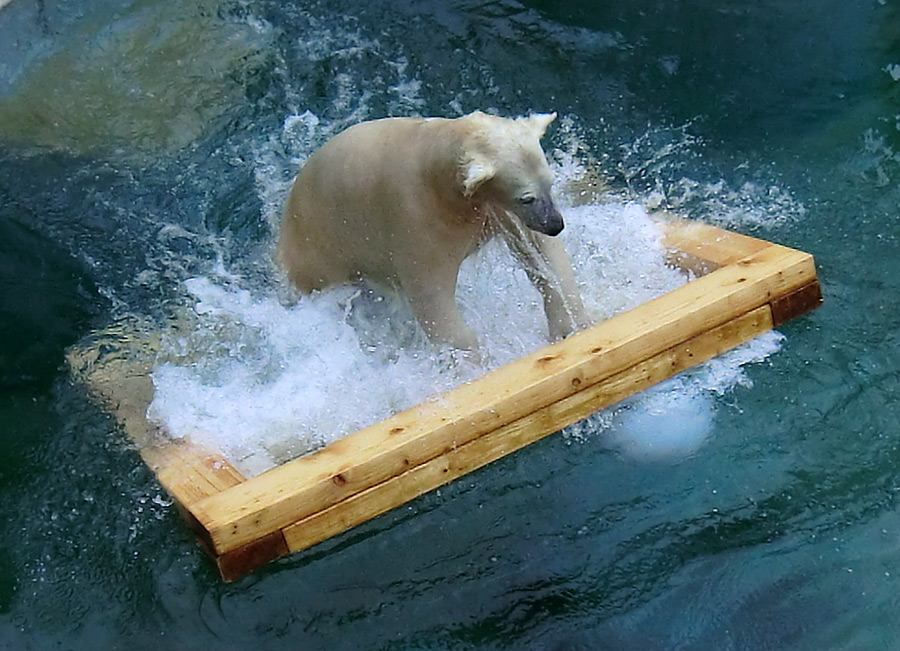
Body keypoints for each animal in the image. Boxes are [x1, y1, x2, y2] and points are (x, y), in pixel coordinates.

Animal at [278, 112, 596, 352]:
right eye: (526, 197)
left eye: (550, 183)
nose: (555, 224)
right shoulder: (416, 220)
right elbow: (432, 300)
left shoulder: (491, 210)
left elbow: (542, 253)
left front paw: (569, 323)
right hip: (321, 249)